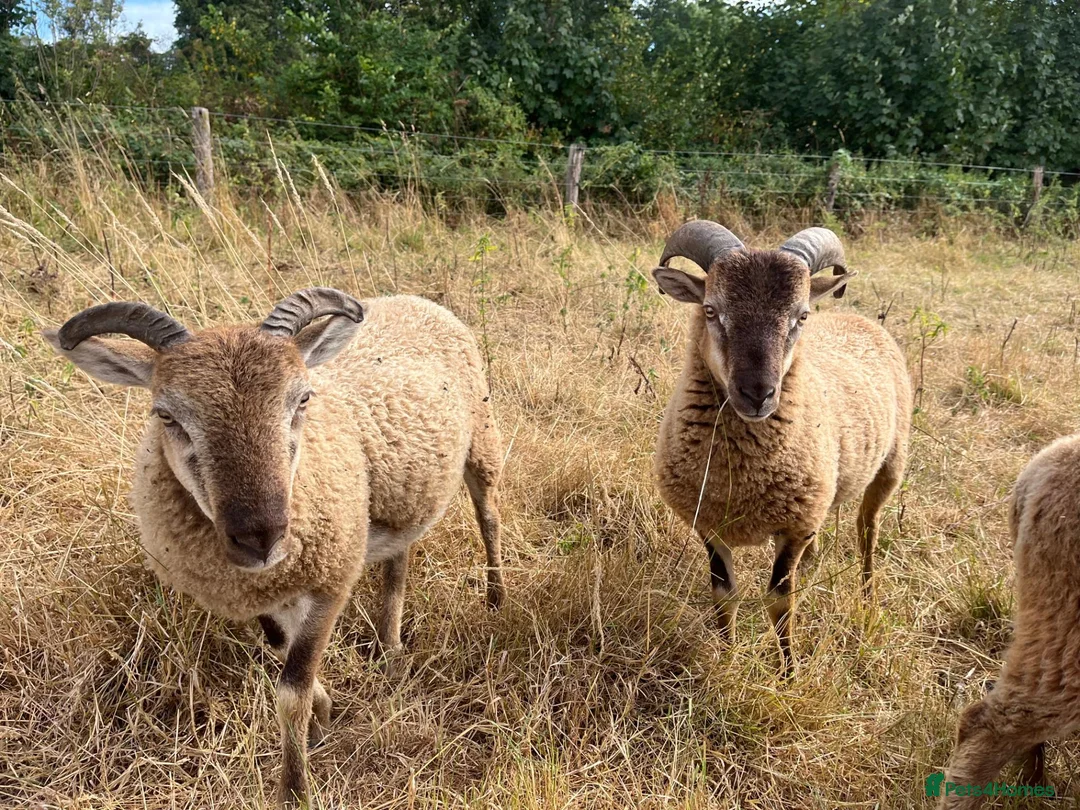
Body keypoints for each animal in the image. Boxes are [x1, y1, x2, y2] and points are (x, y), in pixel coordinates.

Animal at [44, 287, 505, 808]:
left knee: (489, 518)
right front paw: (324, 714)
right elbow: (281, 648)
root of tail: (410, 298)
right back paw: (390, 645)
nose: (259, 534)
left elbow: (291, 690)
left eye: (303, 398)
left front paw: (295, 789)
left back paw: (495, 598)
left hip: (484, 437)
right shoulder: (258, 593)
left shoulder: (330, 580)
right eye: (165, 414)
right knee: (399, 556)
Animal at [650, 221, 911, 672]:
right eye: (710, 310)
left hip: (890, 465)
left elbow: (779, 602)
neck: (743, 477)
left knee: (867, 532)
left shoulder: (793, 528)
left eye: (801, 315)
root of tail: (858, 318)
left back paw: (867, 597)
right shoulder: (710, 525)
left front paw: (789, 671)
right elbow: (724, 596)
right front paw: (728, 659)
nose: (757, 394)